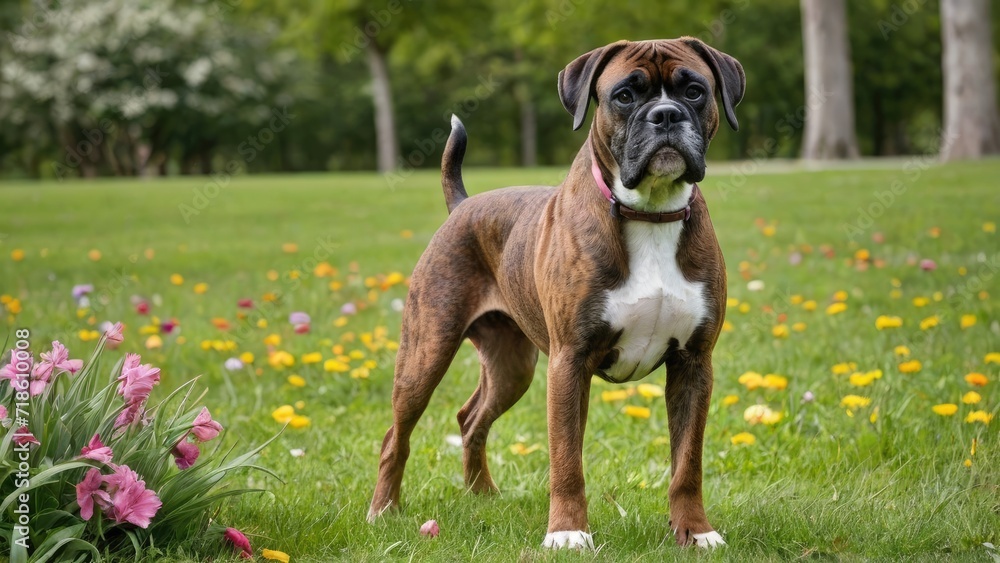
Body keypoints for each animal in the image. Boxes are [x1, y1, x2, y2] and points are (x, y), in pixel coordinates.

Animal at [368, 37, 744, 548]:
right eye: (625, 96)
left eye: (694, 91)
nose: (665, 115)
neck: (649, 213)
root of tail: (463, 205)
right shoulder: (569, 361)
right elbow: (567, 459)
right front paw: (567, 532)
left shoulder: (693, 365)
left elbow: (687, 462)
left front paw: (695, 532)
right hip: (425, 355)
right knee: (397, 435)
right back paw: (383, 510)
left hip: (512, 366)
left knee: (471, 418)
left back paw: (482, 495)